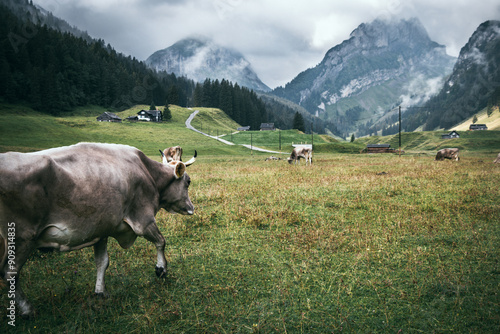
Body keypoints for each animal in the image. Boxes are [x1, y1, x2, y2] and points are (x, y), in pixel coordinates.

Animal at [1, 142, 197, 318]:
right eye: (188, 182)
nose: (191, 208)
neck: (147, 172)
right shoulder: (143, 220)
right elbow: (161, 241)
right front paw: (161, 269)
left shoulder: (101, 230)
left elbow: (102, 262)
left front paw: (100, 291)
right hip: (22, 238)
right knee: (10, 273)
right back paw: (28, 309)